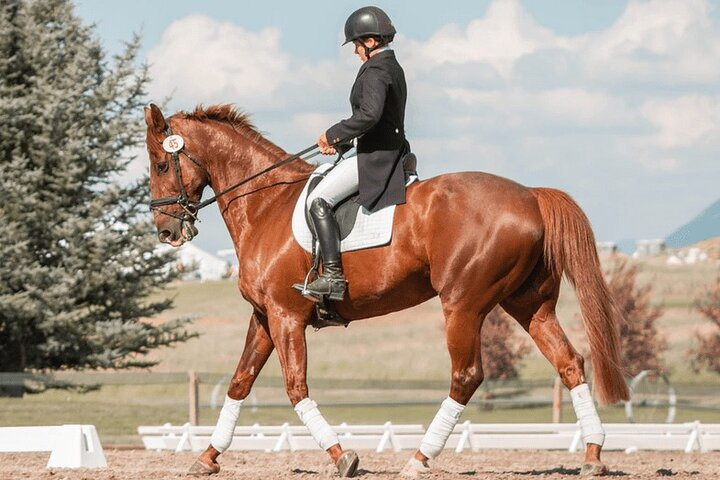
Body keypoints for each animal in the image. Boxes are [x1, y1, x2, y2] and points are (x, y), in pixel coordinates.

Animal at [144, 103, 629, 477]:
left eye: (162, 164)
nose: (167, 231)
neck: (265, 203)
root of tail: (530, 195)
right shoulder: (264, 316)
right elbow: (240, 382)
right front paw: (207, 458)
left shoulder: (286, 316)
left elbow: (295, 387)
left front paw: (343, 457)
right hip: (529, 305)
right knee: (569, 363)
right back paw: (592, 455)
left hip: (463, 305)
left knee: (466, 376)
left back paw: (419, 459)